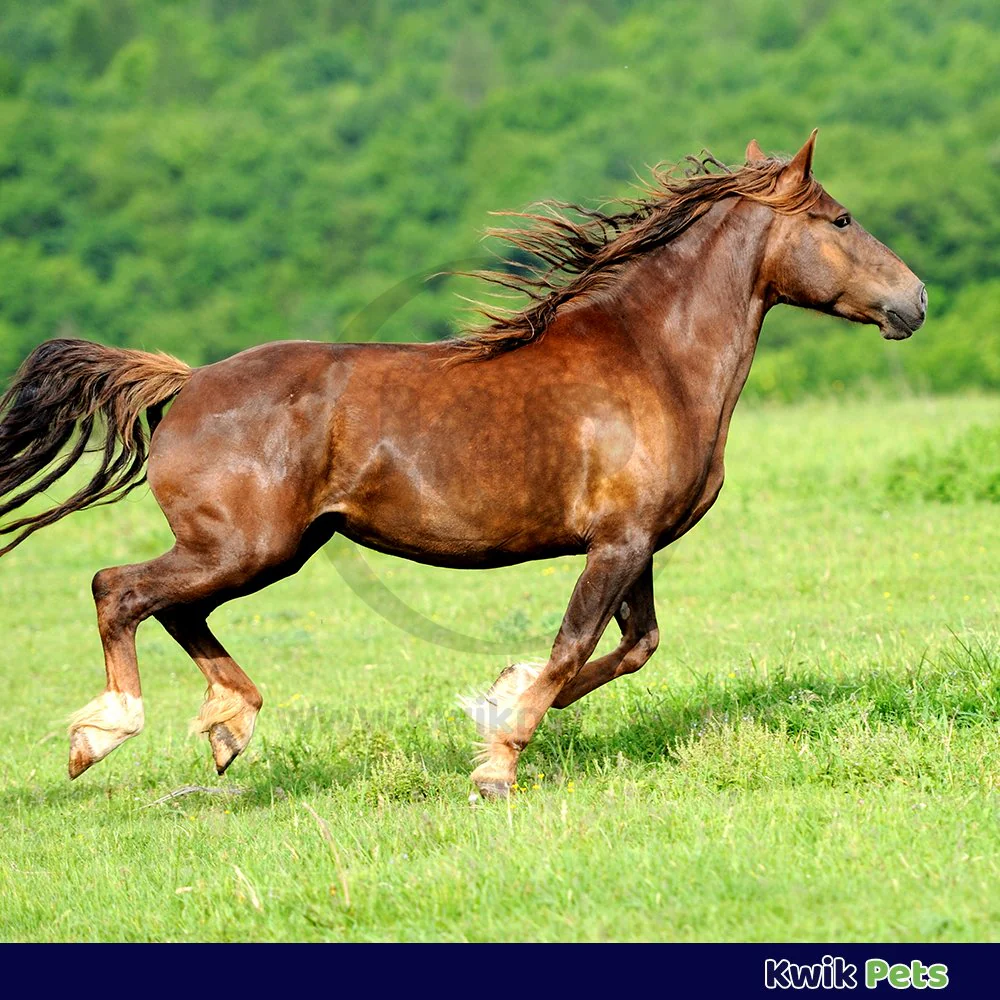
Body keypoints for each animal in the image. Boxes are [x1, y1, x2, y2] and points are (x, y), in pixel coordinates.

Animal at [0, 132, 926, 799]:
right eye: (841, 220)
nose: (913, 303)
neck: (652, 358)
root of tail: (186, 383)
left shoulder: (637, 545)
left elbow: (632, 648)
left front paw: (495, 704)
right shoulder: (618, 542)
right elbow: (573, 648)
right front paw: (496, 762)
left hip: (267, 550)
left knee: (174, 608)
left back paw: (230, 727)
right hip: (243, 546)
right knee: (119, 590)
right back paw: (103, 734)